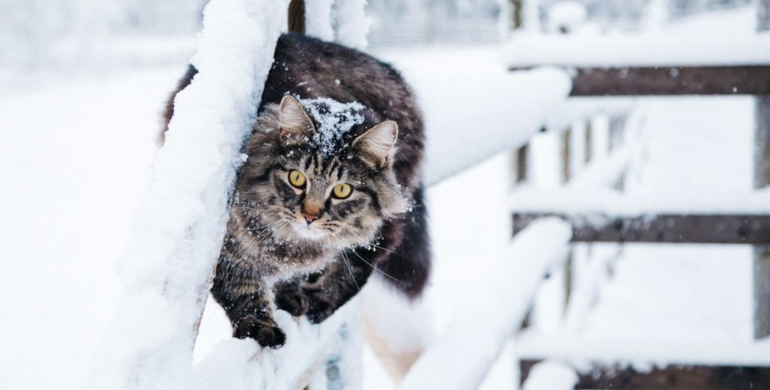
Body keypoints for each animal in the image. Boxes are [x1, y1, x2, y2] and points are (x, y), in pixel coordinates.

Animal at [163, 32, 428, 348]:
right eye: (297, 178)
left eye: (342, 190)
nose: (309, 216)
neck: (289, 243)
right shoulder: (221, 247)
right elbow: (241, 289)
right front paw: (258, 325)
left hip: (386, 223)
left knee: (360, 265)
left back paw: (319, 299)